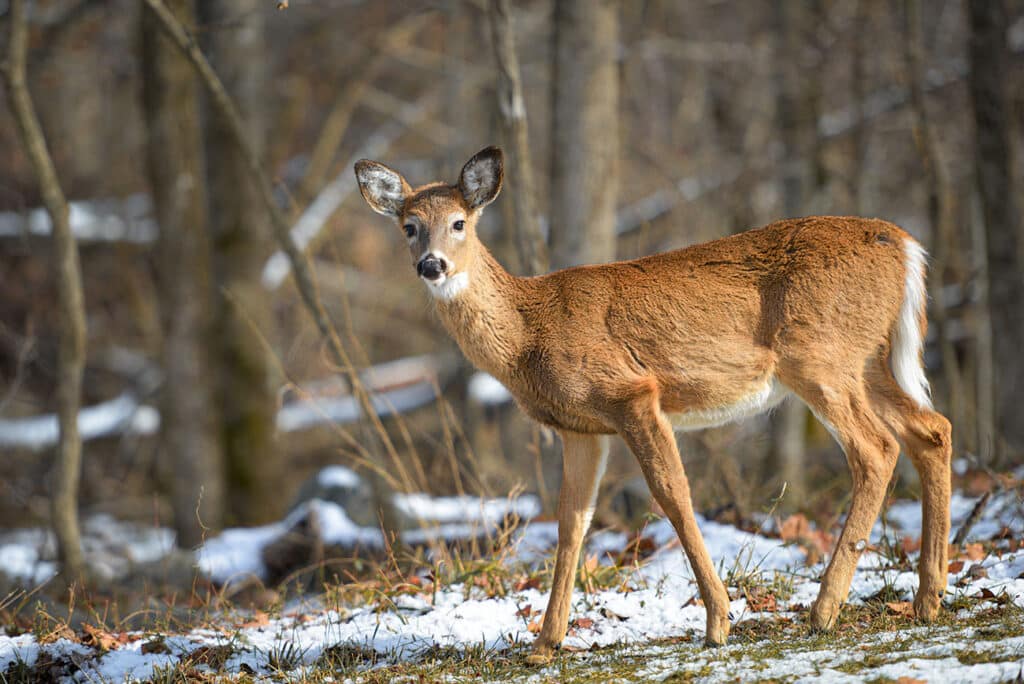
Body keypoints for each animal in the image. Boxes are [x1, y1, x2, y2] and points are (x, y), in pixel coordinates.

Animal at [354, 147, 952, 664]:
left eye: (459, 222)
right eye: (409, 226)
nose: (432, 265)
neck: (529, 331)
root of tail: (905, 245)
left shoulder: (632, 393)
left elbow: (673, 496)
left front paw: (718, 622)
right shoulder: (580, 428)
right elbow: (572, 523)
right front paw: (543, 645)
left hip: (820, 355)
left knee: (876, 449)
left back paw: (824, 612)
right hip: (866, 361)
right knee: (933, 430)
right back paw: (928, 599)